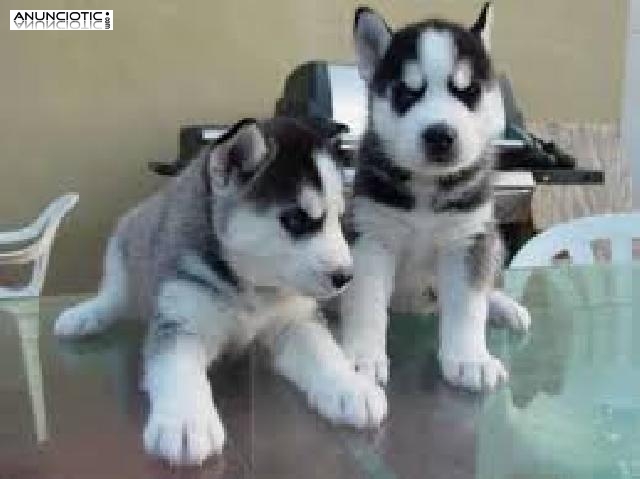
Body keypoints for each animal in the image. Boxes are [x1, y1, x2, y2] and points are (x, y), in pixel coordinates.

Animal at [55, 118, 384, 466]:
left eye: (339, 218)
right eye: (295, 220)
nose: (346, 277)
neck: (250, 287)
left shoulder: (295, 321)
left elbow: (325, 352)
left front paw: (351, 386)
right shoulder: (181, 320)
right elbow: (177, 367)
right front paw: (186, 420)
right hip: (125, 238)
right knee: (115, 293)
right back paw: (86, 315)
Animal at [342, 3, 532, 392]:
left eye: (468, 91)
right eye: (405, 93)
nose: (440, 136)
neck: (427, 188)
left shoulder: (469, 239)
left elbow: (469, 303)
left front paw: (470, 359)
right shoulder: (370, 236)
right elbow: (365, 300)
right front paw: (362, 357)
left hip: (493, 237)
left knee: (488, 280)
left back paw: (503, 306)